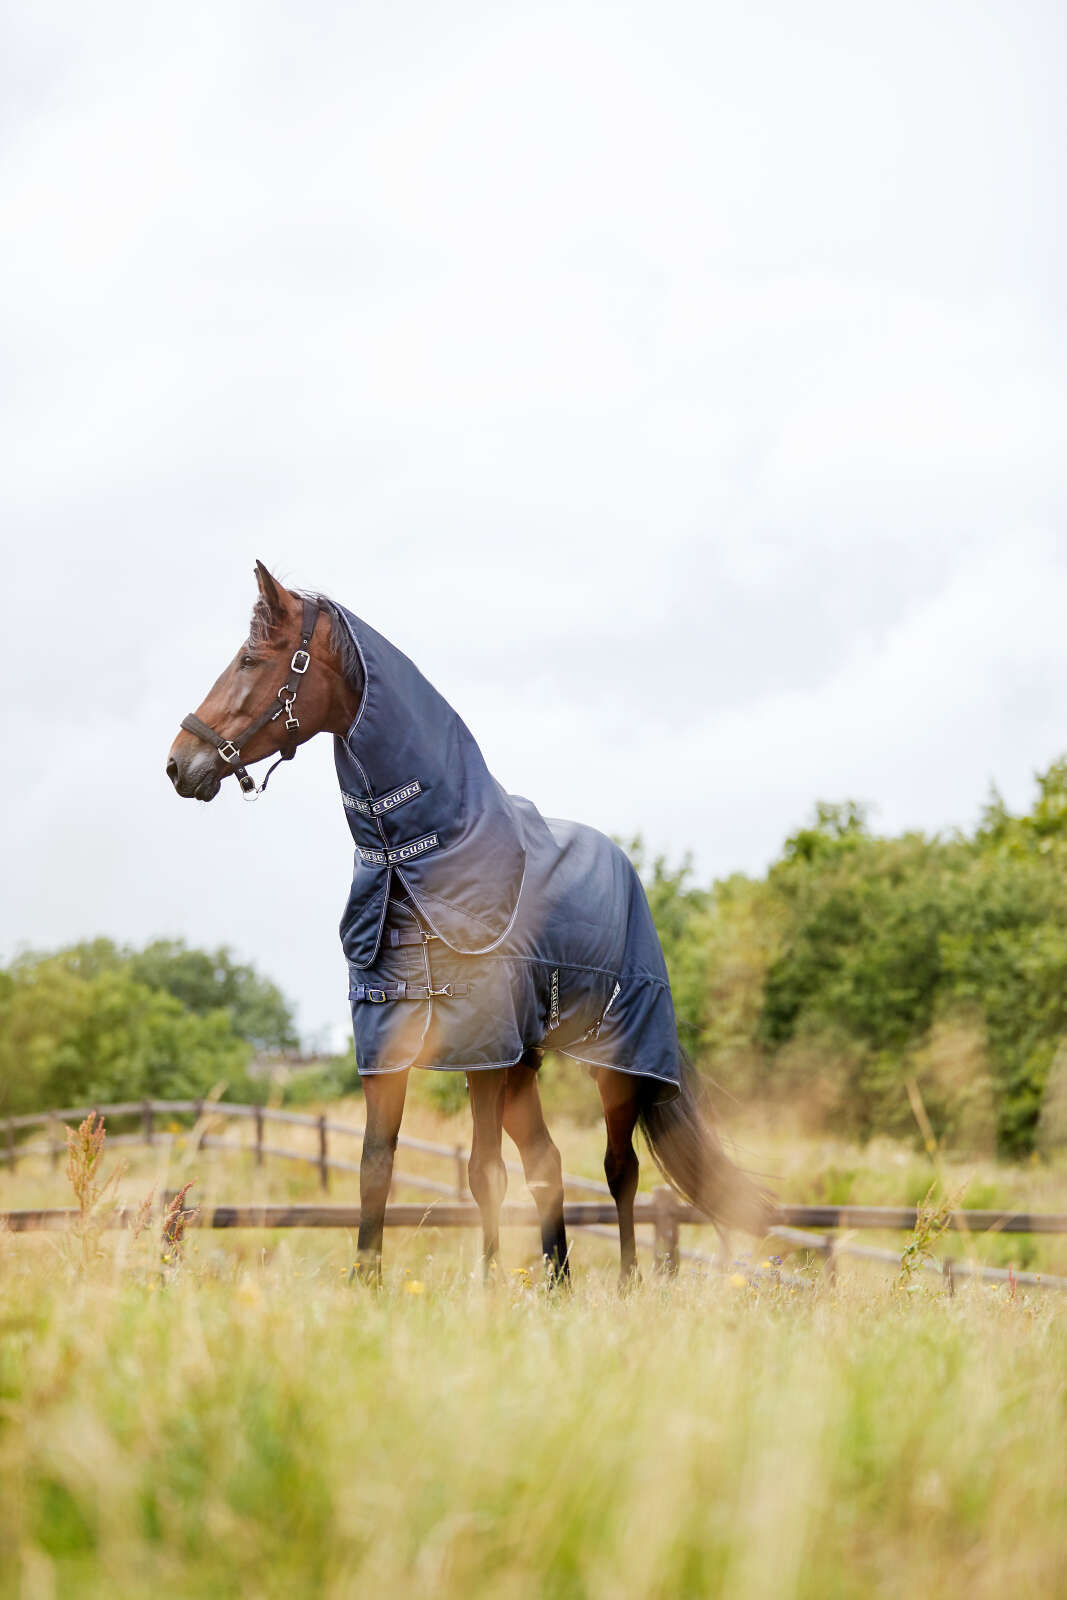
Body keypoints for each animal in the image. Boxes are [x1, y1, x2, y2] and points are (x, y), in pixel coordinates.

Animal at [167, 562, 771, 1285]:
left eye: (252, 661)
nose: (179, 764)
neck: (413, 860)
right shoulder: (391, 1046)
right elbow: (376, 1167)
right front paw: (368, 1284)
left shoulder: (481, 1052)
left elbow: (484, 1174)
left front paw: (486, 1292)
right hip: (524, 1063)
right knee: (547, 1163)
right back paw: (557, 1284)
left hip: (613, 1060)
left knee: (618, 1168)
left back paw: (626, 1285)